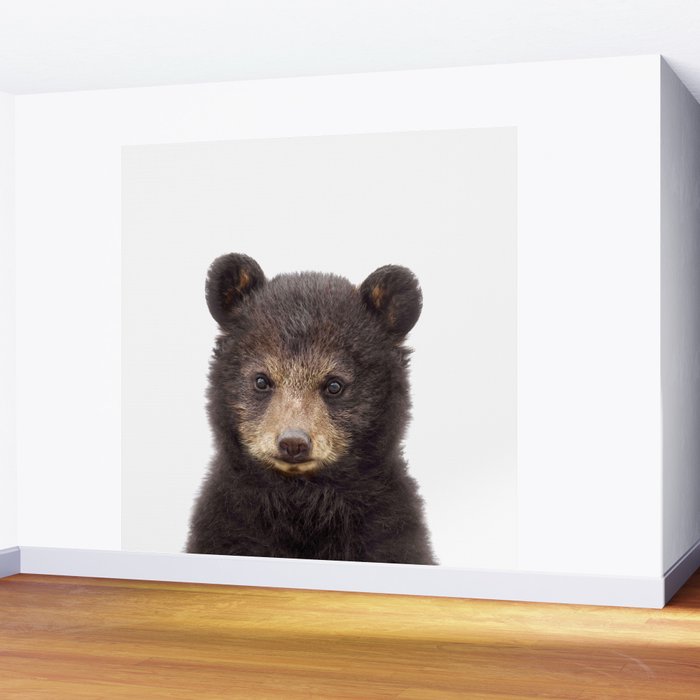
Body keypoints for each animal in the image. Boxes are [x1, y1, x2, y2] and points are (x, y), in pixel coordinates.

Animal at [186, 253, 436, 565]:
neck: (303, 503)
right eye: (261, 380)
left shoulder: (389, 532)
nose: (293, 442)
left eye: (334, 385)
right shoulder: (227, 525)